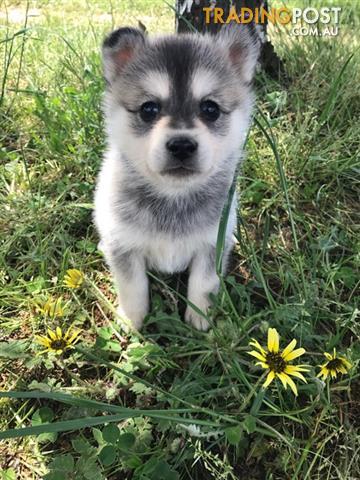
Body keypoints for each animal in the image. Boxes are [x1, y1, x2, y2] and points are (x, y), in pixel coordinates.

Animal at [94, 24, 260, 332]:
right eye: (148, 109)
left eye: (210, 108)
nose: (182, 145)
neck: (173, 196)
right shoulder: (124, 246)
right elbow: (132, 286)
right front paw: (132, 320)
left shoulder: (211, 245)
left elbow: (203, 284)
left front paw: (200, 318)